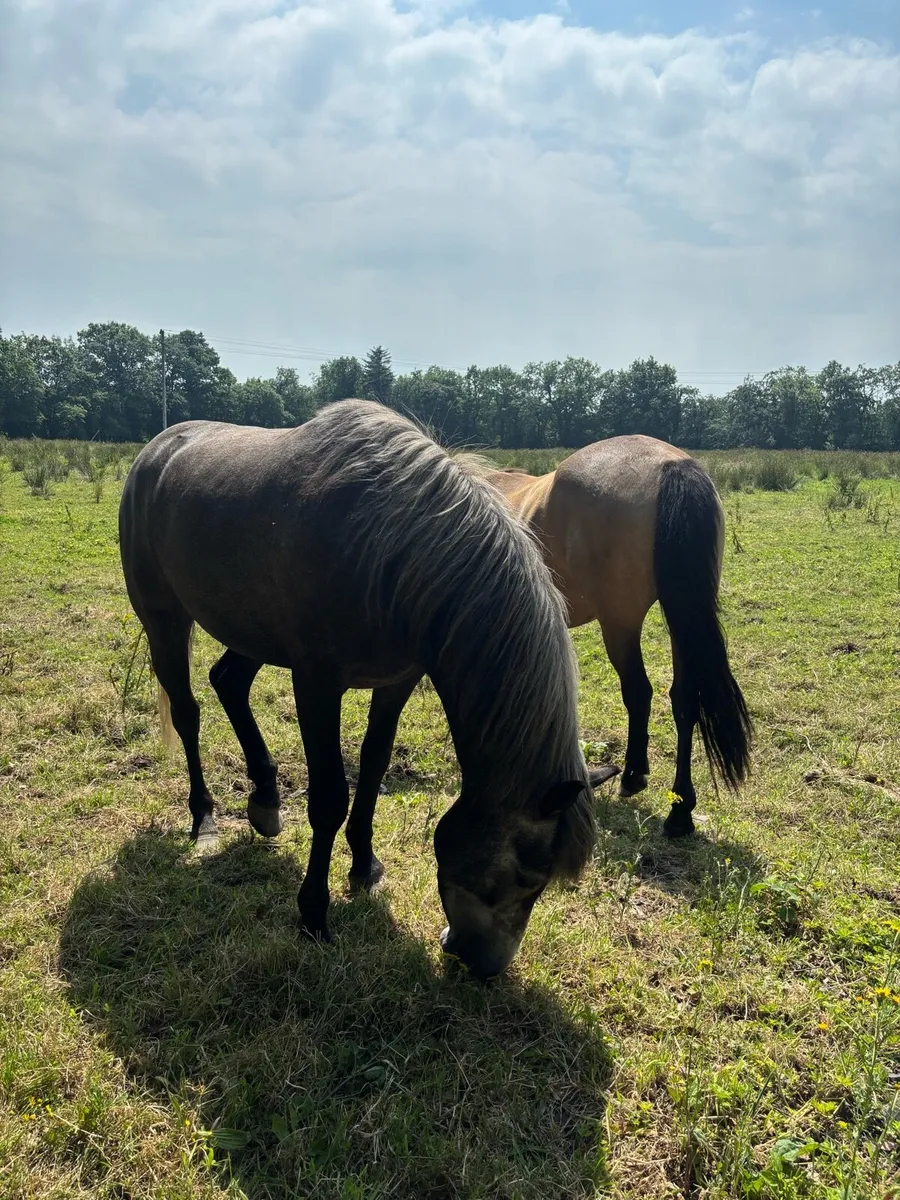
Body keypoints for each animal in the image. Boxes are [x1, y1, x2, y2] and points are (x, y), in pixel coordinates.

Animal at [119, 399, 601, 980]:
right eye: (529, 875)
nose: (485, 966)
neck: (390, 546)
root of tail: (153, 452)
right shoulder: (316, 683)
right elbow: (330, 797)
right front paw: (313, 915)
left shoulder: (396, 681)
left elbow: (373, 767)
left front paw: (364, 865)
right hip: (165, 620)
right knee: (188, 712)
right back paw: (205, 817)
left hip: (251, 631)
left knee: (228, 682)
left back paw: (265, 800)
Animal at [484, 435, 752, 837]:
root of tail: (669, 465)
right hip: (682, 620)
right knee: (684, 700)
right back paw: (679, 811)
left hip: (620, 625)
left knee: (639, 693)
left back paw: (632, 776)